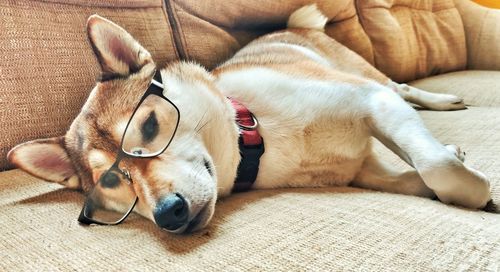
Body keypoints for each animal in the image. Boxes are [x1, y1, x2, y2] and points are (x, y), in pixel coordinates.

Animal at [7, 4, 492, 234]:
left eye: (149, 127)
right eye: (112, 181)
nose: (168, 214)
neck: (256, 134)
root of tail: (294, 25)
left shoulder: (370, 100)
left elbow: (437, 166)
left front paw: (473, 185)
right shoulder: (363, 171)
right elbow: (423, 178)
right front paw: (458, 181)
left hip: (369, 75)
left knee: (403, 87)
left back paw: (442, 100)